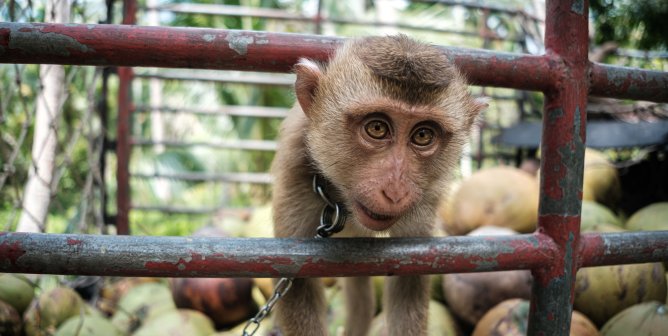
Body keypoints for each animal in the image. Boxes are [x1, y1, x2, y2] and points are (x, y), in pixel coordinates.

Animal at [270, 34, 486, 336]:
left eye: (423, 135)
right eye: (377, 128)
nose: (395, 192)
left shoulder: (425, 198)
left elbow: (408, 282)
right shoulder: (296, 170)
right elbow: (297, 283)